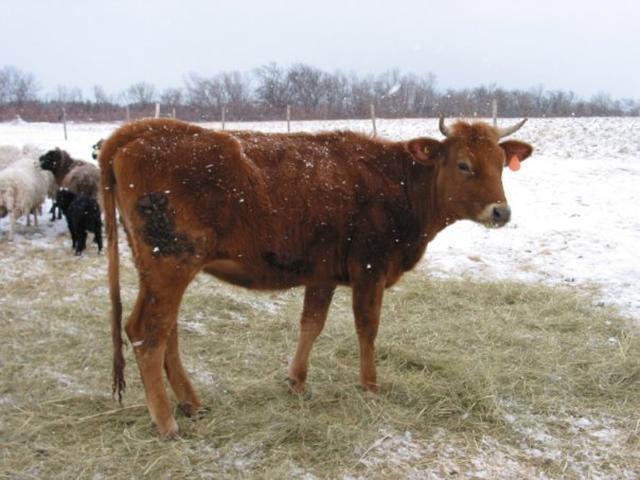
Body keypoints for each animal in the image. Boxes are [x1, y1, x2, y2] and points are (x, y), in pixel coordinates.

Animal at [99, 117, 533, 437]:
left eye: (500, 163)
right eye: (463, 164)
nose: (501, 212)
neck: (398, 183)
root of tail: (142, 129)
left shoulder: (322, 272)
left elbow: (311, 323)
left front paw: (297, 382)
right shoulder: (370, 269)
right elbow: (367, 328)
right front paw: (370, 385)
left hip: (158, 268)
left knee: (164, 331)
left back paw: (191, 403)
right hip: (171, 263)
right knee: (147, 332)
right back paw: (167, 422)